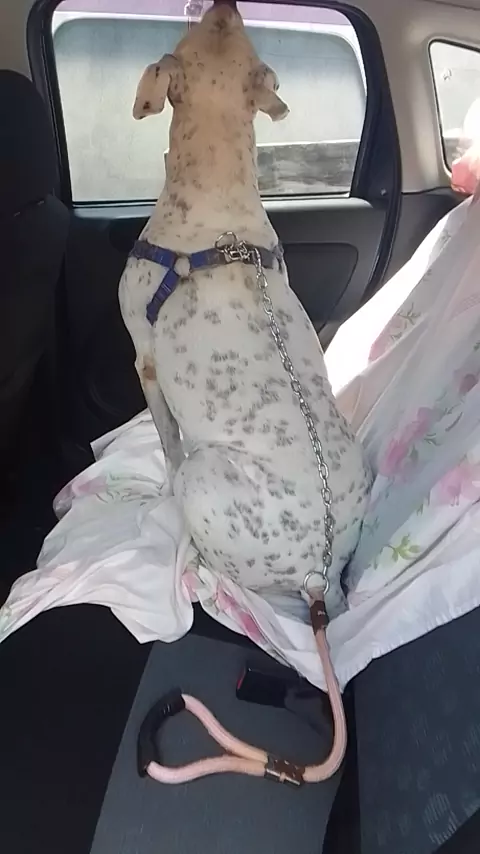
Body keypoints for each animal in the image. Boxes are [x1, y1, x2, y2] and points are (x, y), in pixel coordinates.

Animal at [119, 0, 372, 619]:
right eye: (229, 26)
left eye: (184, 35)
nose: (226, 4)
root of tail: (319, 578)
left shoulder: (145, 361)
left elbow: (168, 444)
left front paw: (159, 482)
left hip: (207, 478)